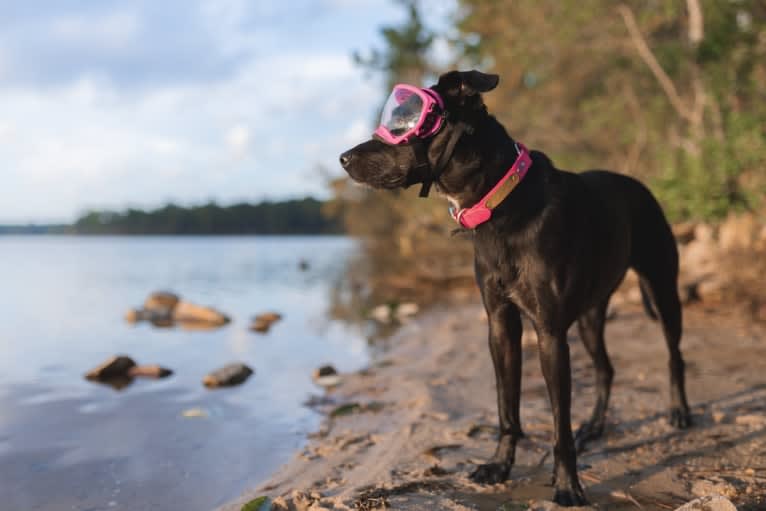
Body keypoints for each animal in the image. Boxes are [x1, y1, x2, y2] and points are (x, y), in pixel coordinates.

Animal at [340, 70, 692, 506]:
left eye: (403, 123)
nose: (343, 158)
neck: (498, 203)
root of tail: (640, 186)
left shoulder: (550, 334)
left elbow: (559, 425)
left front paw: (567, 484)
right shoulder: (501, 326)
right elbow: (507, 409)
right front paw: (499, 466)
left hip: (662, 292)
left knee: (674, 355)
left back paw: (679, 412)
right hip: (591, 315)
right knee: (606, 369)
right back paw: (594, 426)